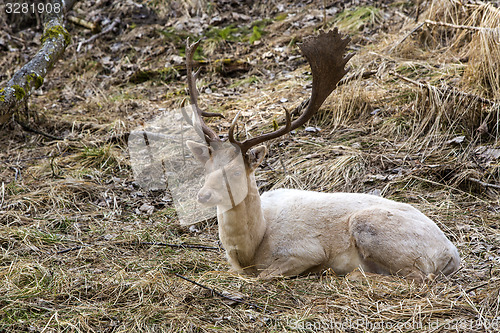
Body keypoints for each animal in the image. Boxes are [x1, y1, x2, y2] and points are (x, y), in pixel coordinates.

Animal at [182, 29, 458, 280]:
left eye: (237, 171)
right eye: (206, 168)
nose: (203, 195)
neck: (253, 248)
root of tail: (452, 253)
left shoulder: (305, 251)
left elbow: (266, 275)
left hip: (372, 227)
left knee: (419, 276)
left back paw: (352, 274)